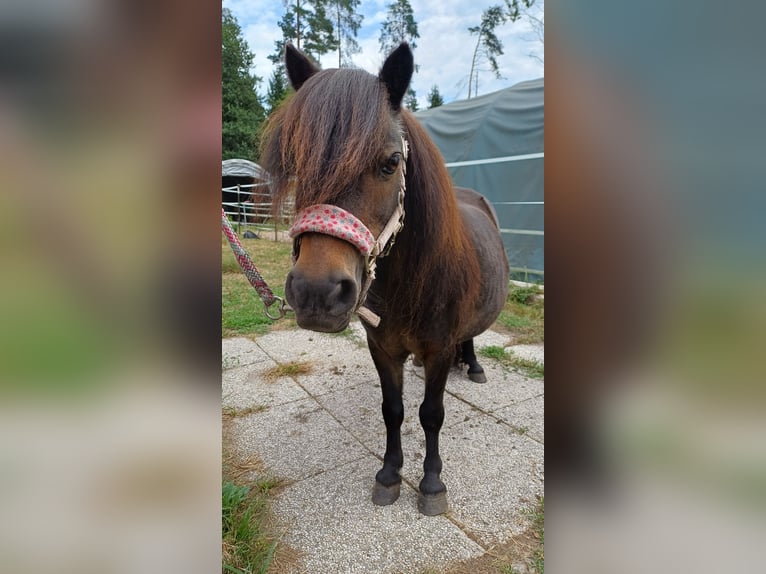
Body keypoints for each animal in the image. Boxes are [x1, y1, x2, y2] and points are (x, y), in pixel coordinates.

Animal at [261, 43, 509, 515]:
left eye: (391, 162)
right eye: (296, 162)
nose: (317, 293)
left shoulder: (440, 347)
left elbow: (431, 414)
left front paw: (431, 483)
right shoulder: (381, 347)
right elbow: (392, 409)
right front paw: (390, 475)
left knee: (470, 337)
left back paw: (473, 365)